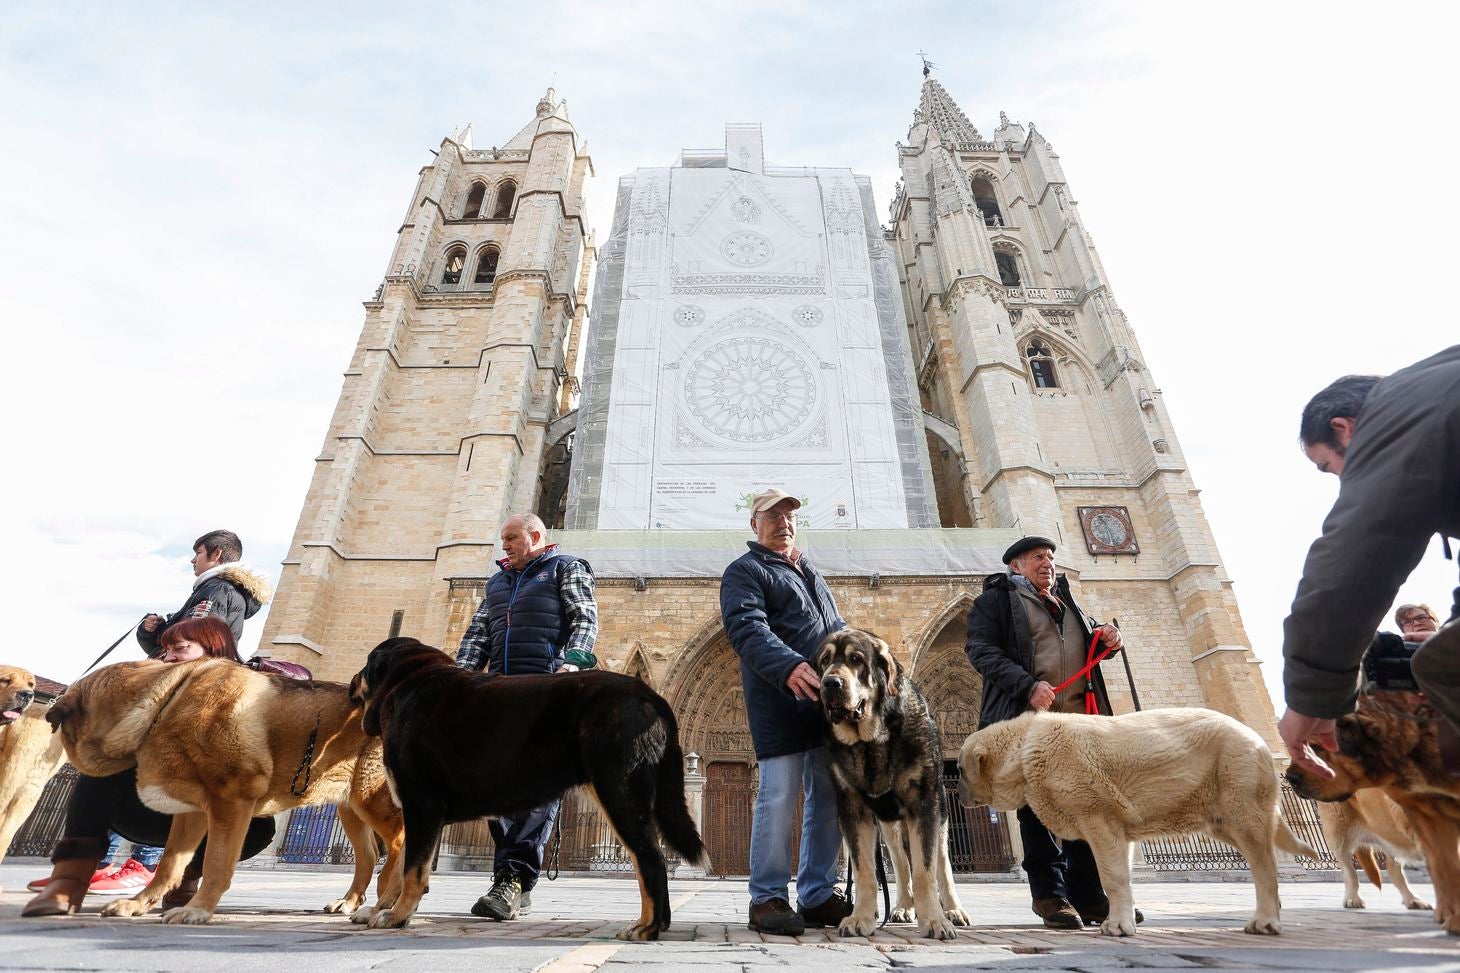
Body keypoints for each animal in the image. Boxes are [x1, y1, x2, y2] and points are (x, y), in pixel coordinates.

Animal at [48, 654, 402, 923]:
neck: (166, 700)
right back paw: (353, 902)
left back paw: (387, 901)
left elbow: (216, 864)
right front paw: (140, 903)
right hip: (352, 807)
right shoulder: (191, 813)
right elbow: (169, 865)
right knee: (369, 855)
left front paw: (197, 910)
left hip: (373, 802)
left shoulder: (232, 802)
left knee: (398, 846)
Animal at [343, 634, 706, 935]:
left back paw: (647, 927)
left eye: (365, 666)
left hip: (620, 793)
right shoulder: (416, 811)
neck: (413, 681)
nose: (350, 682)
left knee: (651, 860)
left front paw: (398, 915)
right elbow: (402, 867)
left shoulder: (422, 803)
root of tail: (650, 695)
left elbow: (412, 872)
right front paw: (382, 908)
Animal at [817, 625, 963, 935]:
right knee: (900, 863)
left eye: (856, 659)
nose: (830, 683)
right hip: (889, 823)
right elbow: (865, 872)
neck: (871, 739)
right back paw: (904, 907)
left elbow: (925, 871)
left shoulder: (924, 805)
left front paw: (934, 919)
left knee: (941, 862)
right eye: (824, 661)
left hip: (939, 807)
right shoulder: (853, 808)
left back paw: (953, 910)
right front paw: (861, 916)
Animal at [951, 704, 1319, 935]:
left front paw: (1118, 925)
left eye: (960, 769)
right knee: (1263, 860)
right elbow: (1122, 878)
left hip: (1242, 806)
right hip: (1222, 819)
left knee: (1266, 865)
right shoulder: (1115, 829)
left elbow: (1112, 877)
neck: (1024, 749)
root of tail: (1259, 740)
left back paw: (1266, 919)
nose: (953, 791)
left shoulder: (1098, 817)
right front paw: (1123, 916)